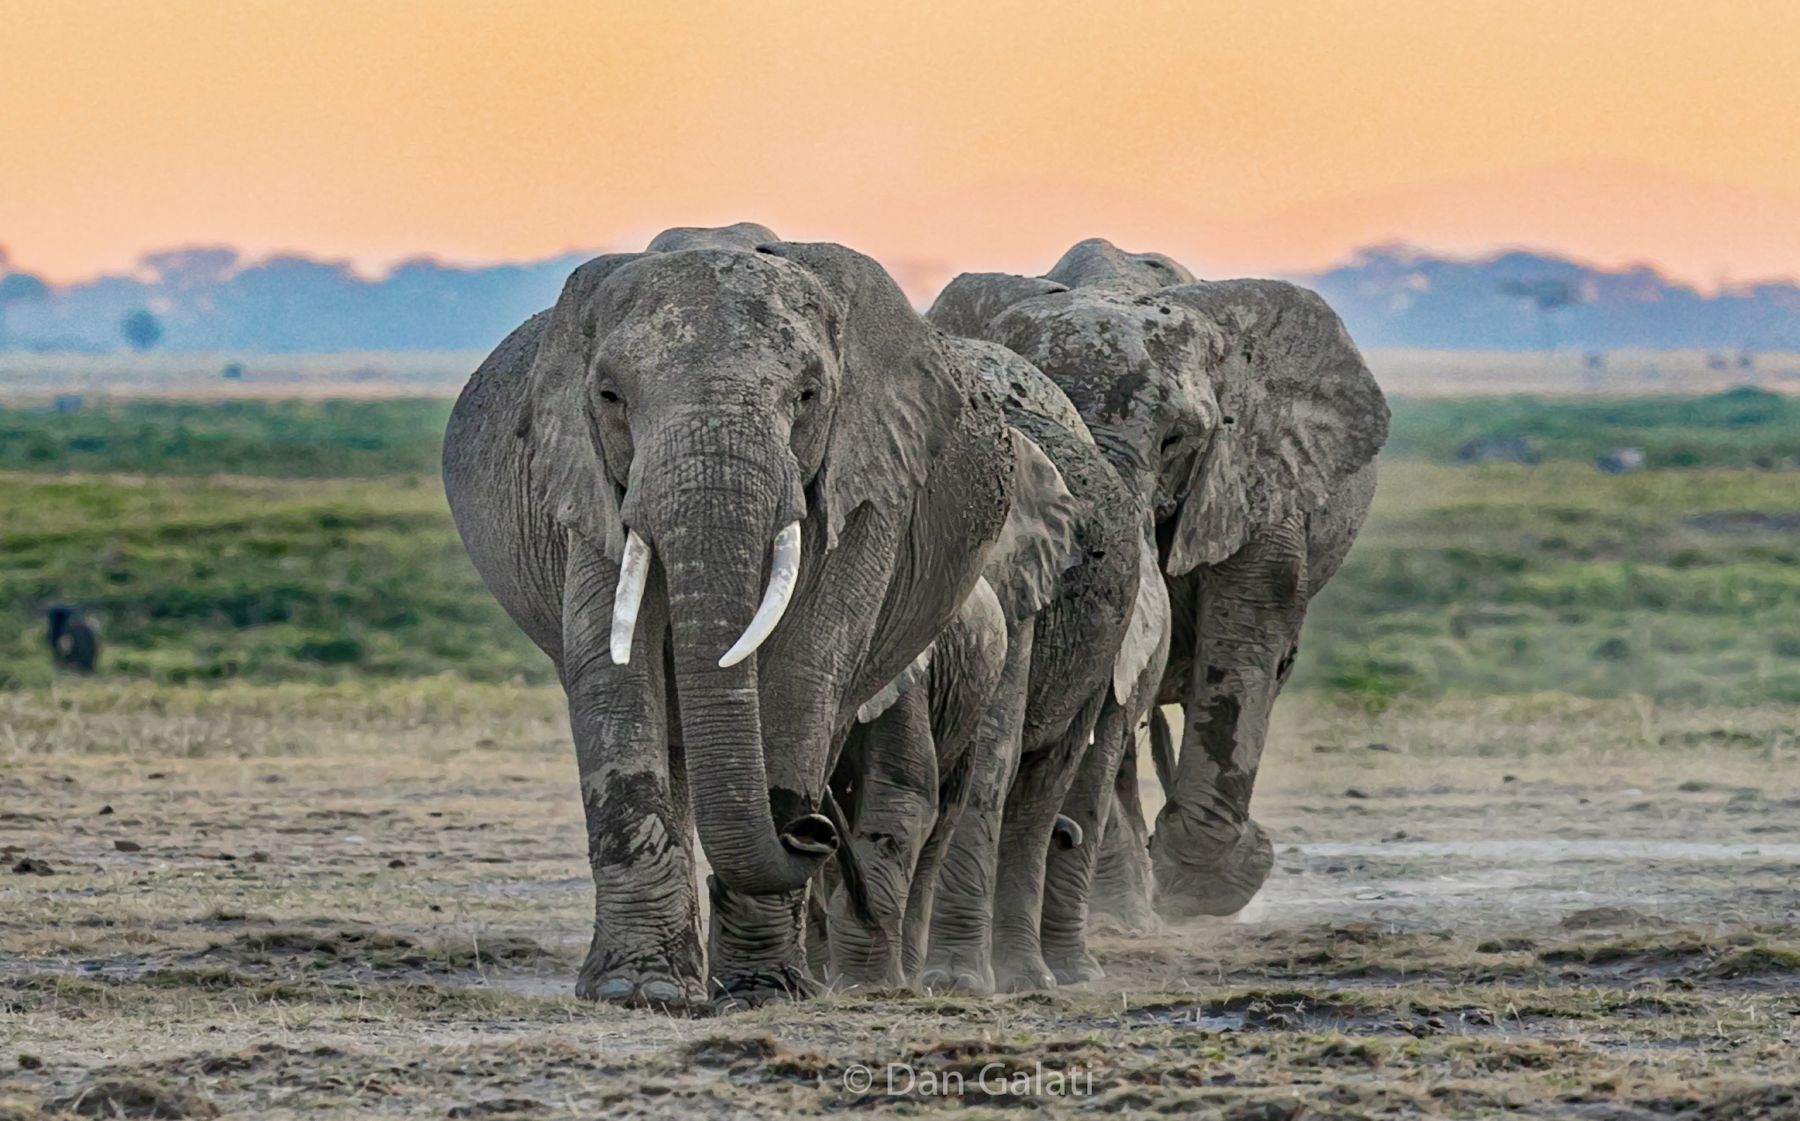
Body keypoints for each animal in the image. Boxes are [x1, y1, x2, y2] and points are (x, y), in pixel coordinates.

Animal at [443, 223, 1081, 1011]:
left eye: (808, 396)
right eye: (610, 396)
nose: (812, 829)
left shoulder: (869, 481)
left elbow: (807, 670)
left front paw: (762, 992)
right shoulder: (588, 482)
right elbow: (611, 673)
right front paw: (634, 990)